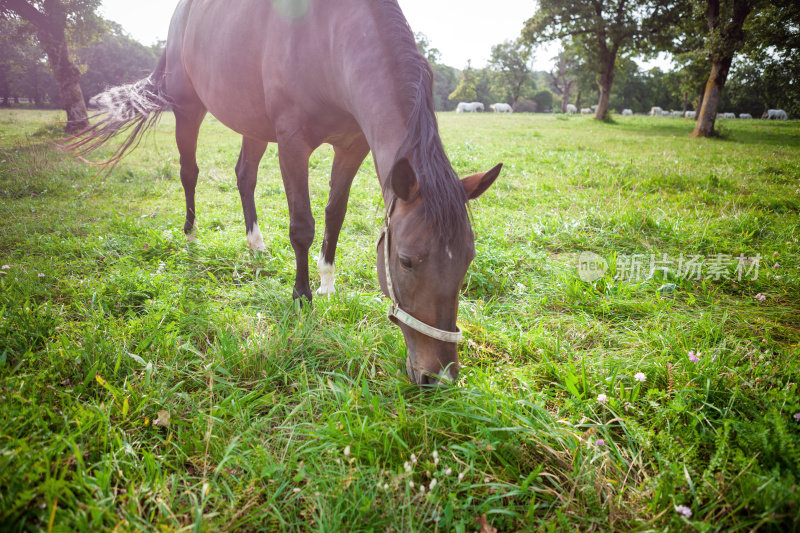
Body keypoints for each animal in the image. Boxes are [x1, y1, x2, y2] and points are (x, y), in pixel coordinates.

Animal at [73, 0, 500, 384]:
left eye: (467, 261)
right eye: (407, 261)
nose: (439, 376)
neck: (329, 38)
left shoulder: (352, 146)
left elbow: (334, 214)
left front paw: (327, 284)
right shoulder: (293, 143)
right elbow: (302, 226)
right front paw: (302, 298)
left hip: (252, 123)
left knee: (244, 175)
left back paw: (256, 246)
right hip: (188, 107)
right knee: (189, 172)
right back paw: (191, 236)